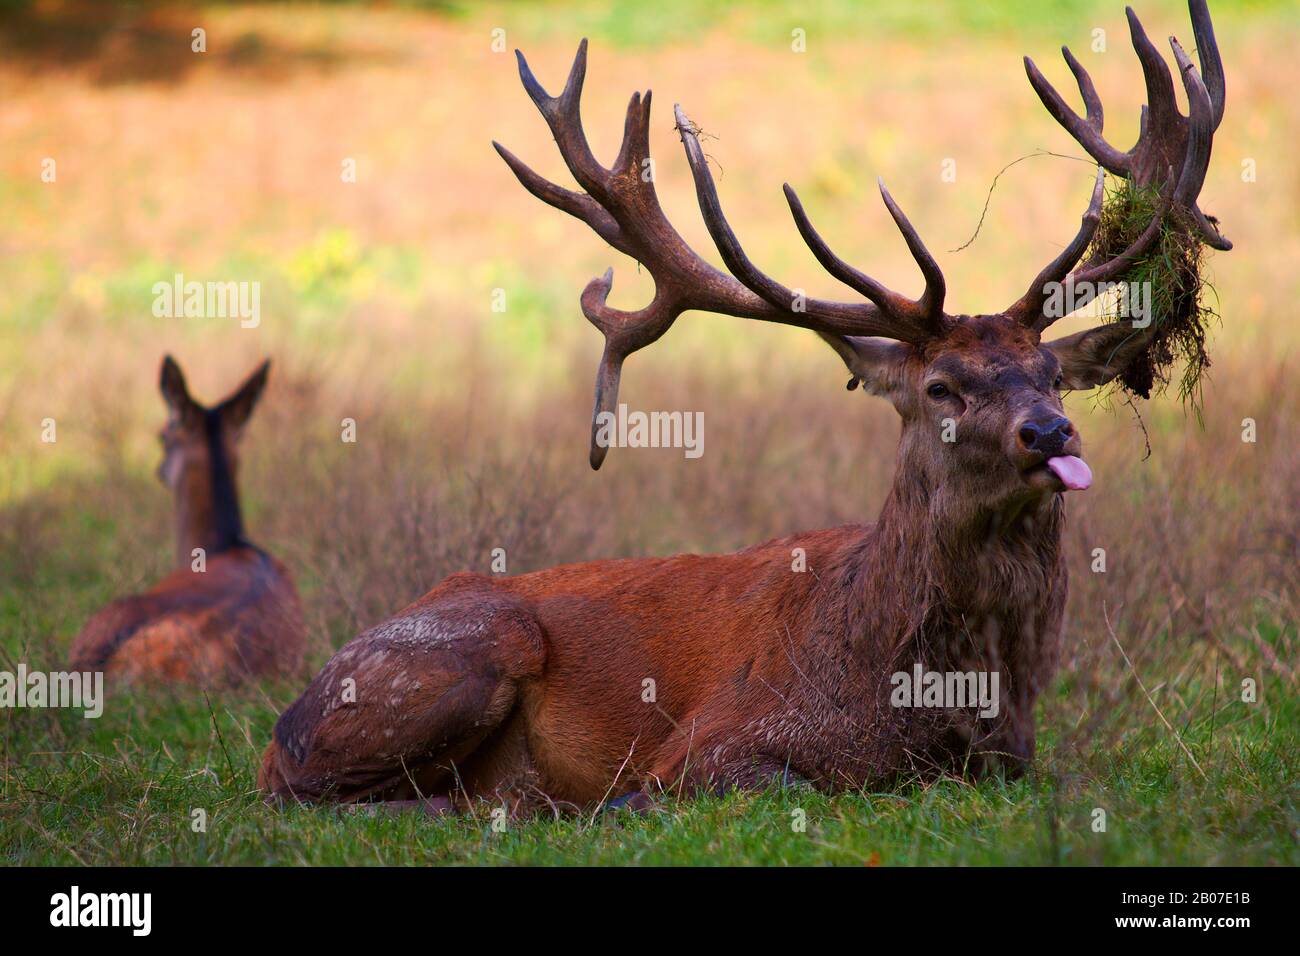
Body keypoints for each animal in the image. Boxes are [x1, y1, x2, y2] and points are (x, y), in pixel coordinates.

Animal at [259, 0, 1229, 813]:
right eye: (940, 387)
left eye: (1051, 374)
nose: (1050, 431)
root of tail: (281, 724)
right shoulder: (712, 745)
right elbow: (771, 785)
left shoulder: (1018, 760)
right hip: (460, 654)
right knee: (315, 796)